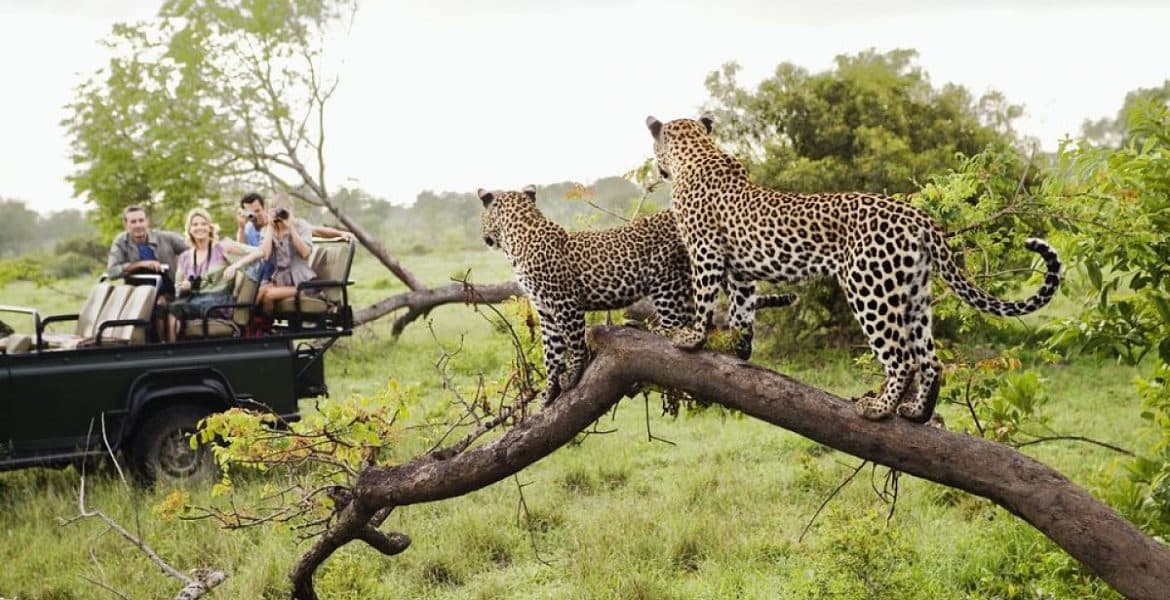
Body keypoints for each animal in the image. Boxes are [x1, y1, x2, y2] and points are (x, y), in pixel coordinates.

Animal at [477, 185, 795, 402]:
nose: (484, 237)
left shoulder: (564, 303)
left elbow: (574, 342)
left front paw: (573, 373)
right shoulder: (545, 310)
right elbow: (551, 351)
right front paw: (548, 393)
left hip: (667, 277)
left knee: (674, 324)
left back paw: (645, 328)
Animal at [645, 115, 1067, 421]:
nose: (656, 166)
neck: (698, 151)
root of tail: (920, 217)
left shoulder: (705, 252)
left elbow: (704, 299)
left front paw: (691, 339)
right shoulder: (742, 270)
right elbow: (742, 310)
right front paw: (739, 348)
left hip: (870, 289)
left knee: (902, 359)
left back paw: (879, 409)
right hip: (914, 294)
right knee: (931, 360)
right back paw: (916, 412)